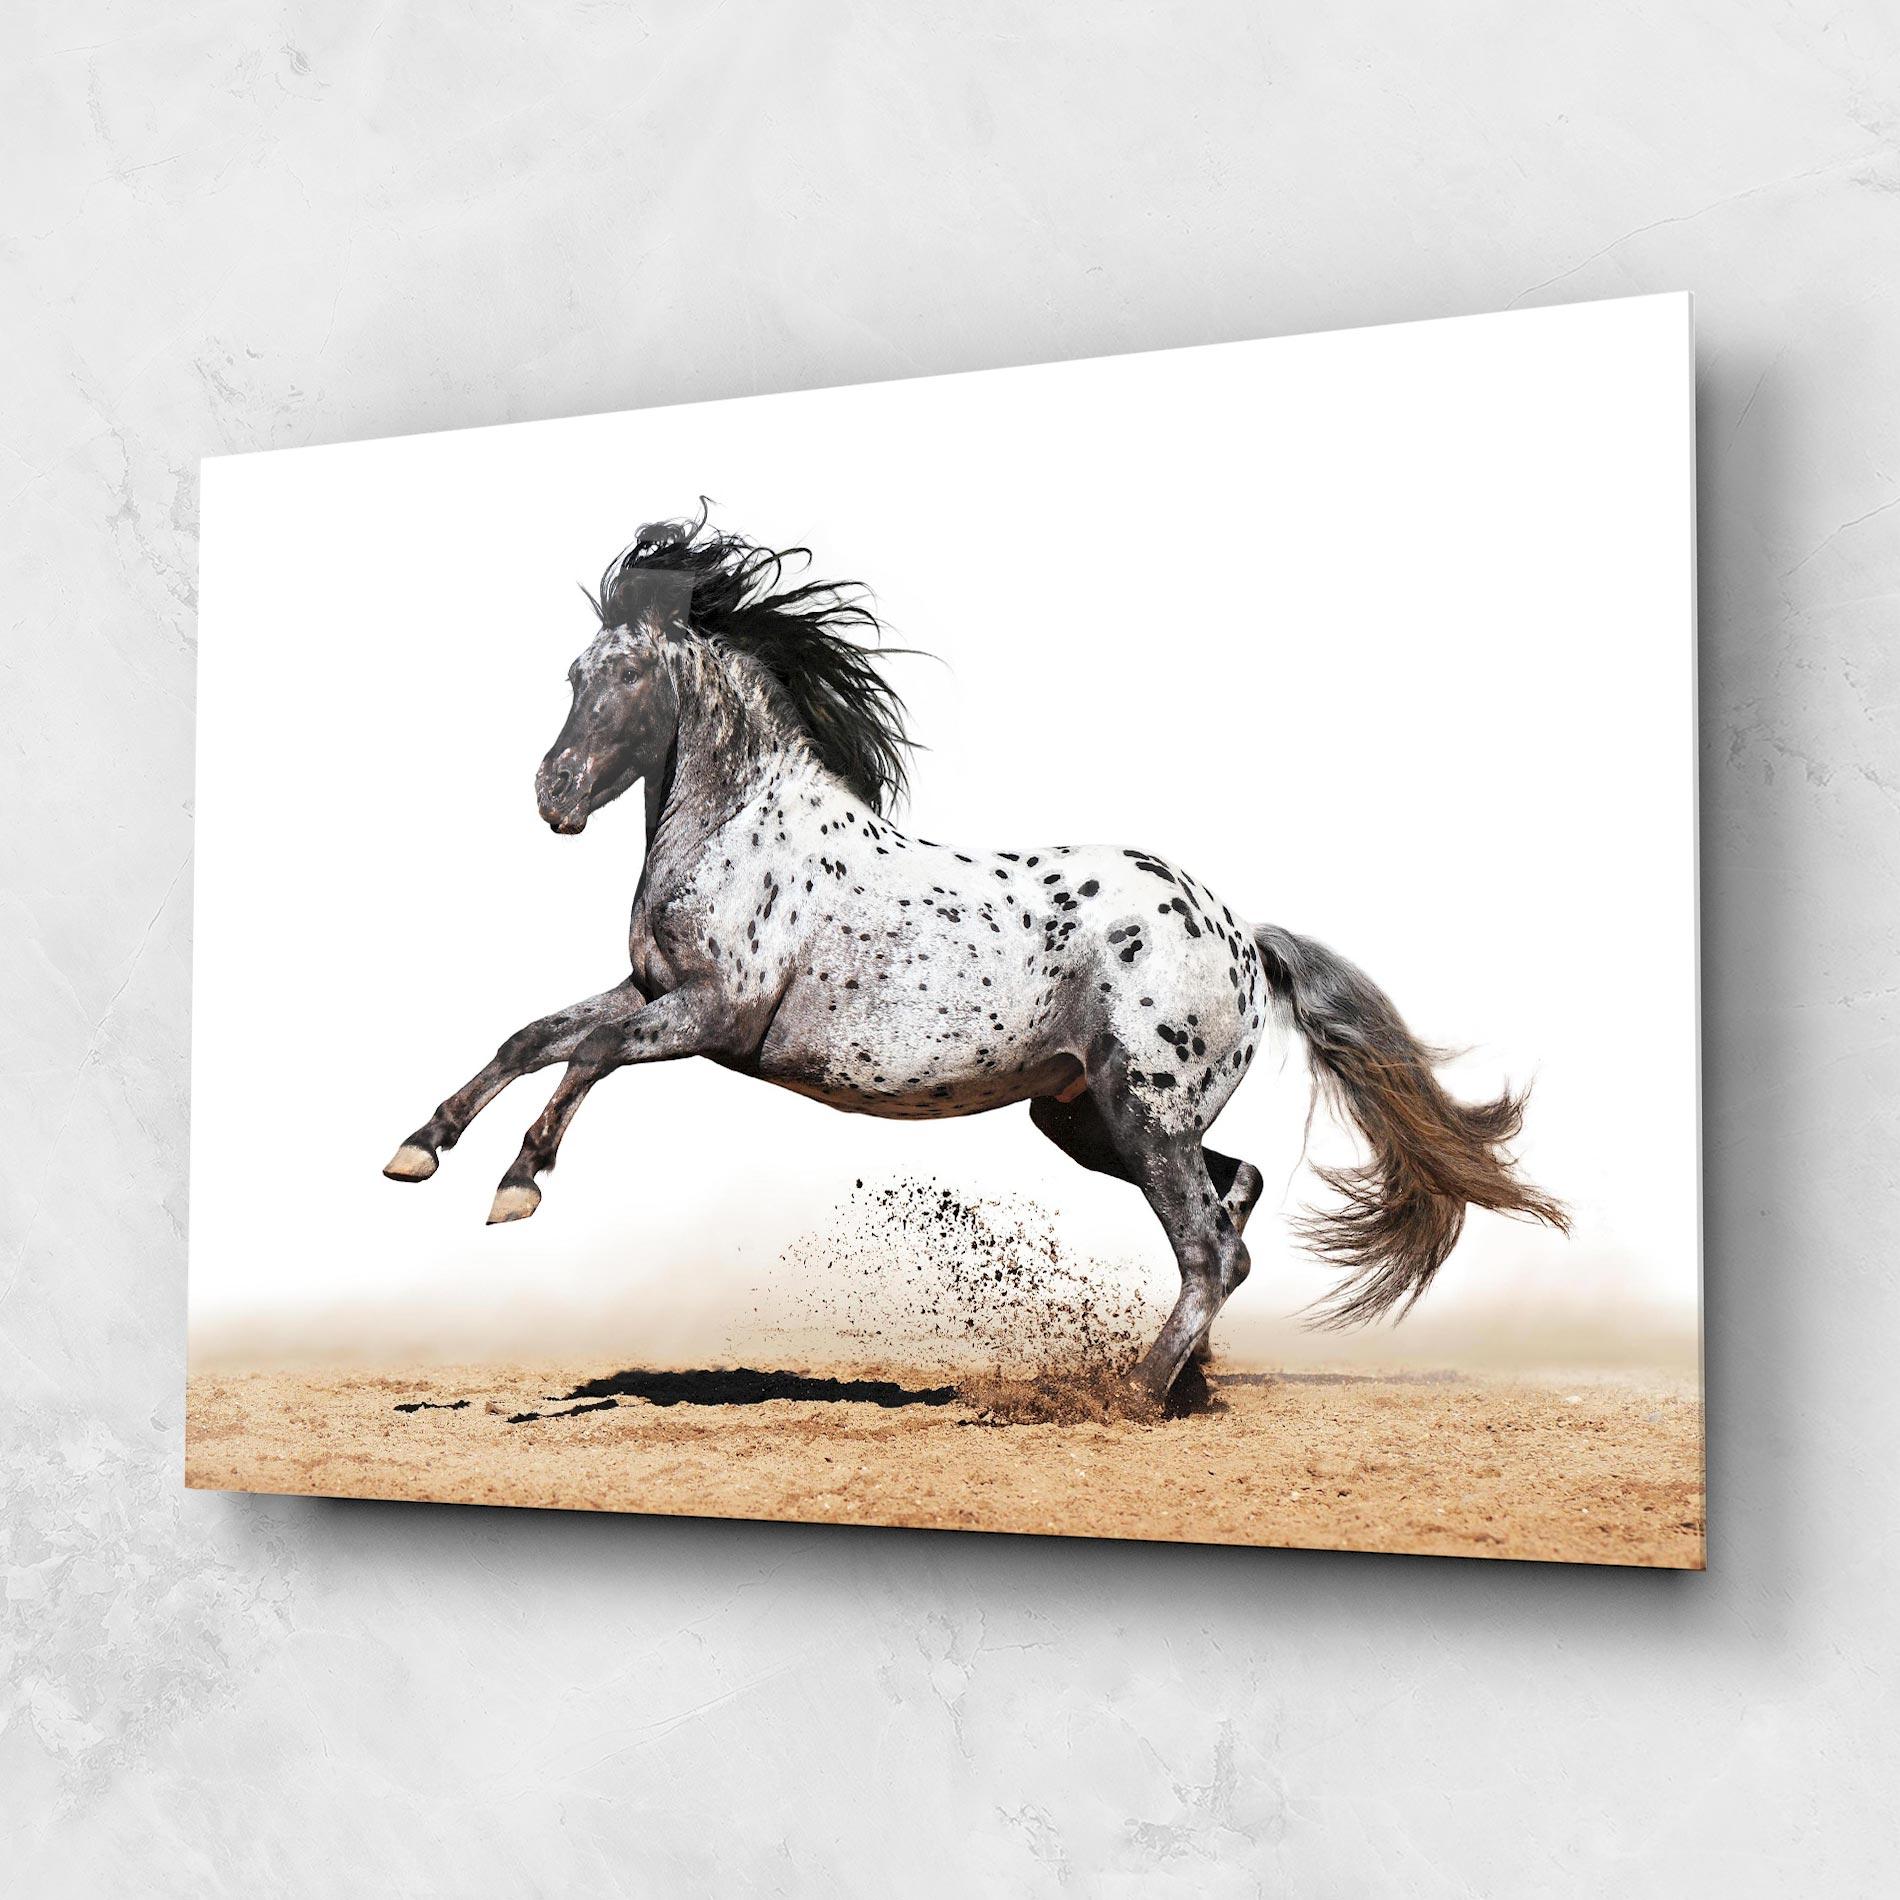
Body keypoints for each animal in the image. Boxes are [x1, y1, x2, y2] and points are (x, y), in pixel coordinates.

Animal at [384, 513, 1567, 1406]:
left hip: (1143, 1113)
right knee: (1236, 1197)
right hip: (1089, 1117)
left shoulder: (709, 1018)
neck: (740, 829)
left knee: (1211, 1244)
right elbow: (533, 1037)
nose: (554, 798)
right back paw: (1187, 1380)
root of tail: (1239, 934)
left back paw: (1131, 1395)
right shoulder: (650, 991)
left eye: (628, 678)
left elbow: (585, 1057)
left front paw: (515, 1187)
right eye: (572, 672)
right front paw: (421, 1150)